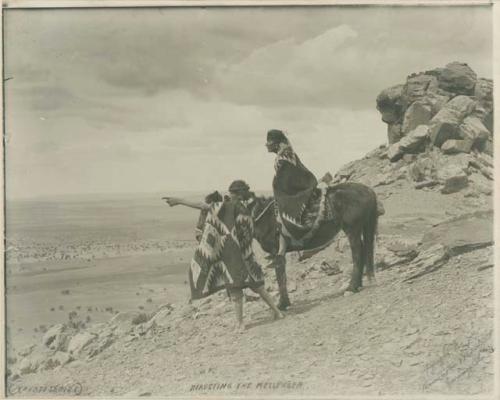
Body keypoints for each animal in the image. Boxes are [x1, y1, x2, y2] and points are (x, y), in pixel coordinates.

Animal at [195, 183, 378, 310]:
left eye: (206, 212)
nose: (197, 235)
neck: (262, 217)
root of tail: (367, 190)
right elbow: (281, 275)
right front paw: (285, 303)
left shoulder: (277, 252)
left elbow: (280, 276)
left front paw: (283, 304)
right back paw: (358, 284)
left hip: (352, 229)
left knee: (357, 253)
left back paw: (352, 287)